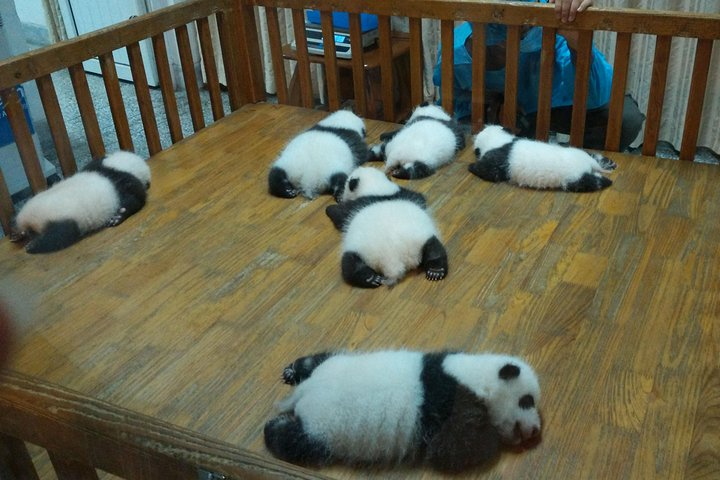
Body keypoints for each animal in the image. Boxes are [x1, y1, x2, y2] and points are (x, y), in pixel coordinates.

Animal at [264, 349, 542, 472]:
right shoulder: (447, 406)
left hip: (335, 362)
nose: (536, 430)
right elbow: (454, 449)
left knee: (319, 358)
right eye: (527, 401)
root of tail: (305, 392)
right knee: (297, 441)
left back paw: (293, 370)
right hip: (323, 428)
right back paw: (273, 428)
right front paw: (493, 439)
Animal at [470, 124, 617, 192]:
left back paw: (607, 181)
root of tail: (590, 164)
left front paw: (471, 166)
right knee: (594, 157)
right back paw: (609, 164)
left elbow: (486, 171)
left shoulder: (495, 162)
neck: (499, 141)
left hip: (573, 178)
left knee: (592, 182)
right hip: (577, 153)